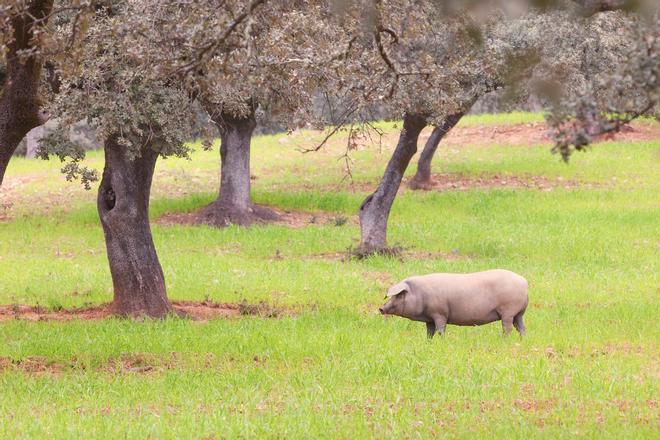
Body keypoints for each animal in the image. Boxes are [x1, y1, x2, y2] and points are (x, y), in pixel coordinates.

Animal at [378, 268, 528, 336]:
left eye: (398, 295)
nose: (381, 308)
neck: (420, 294)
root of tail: (524, 282)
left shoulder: (439, 313)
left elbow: (440, 330)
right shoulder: (429, 318)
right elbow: (429, 332)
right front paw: (428, 342)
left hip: (508, 311)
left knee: (507, 328)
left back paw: (504, 339)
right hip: (519, 313)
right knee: (521, 328)